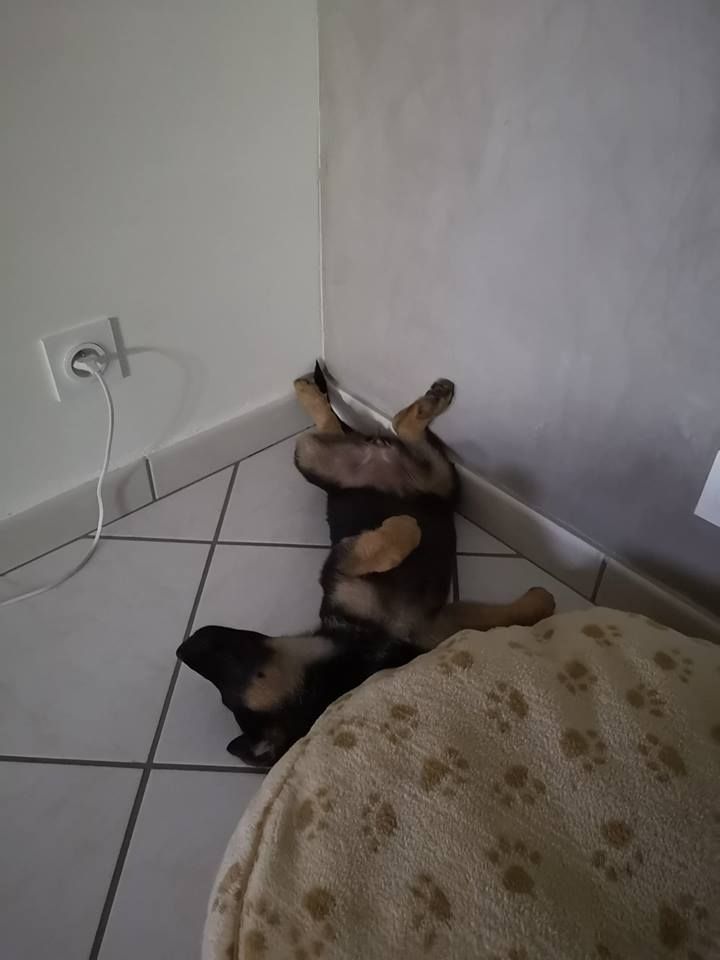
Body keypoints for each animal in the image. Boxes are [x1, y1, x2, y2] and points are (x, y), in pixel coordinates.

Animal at [177, 367, 555, 766]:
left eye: (228, 664)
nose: (189, 644)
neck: (357, 651)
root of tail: (373, 454)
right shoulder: (417, 612)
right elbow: (400, 546)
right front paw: (407, 526)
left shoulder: (416, 616)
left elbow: (503, 614)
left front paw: (540, 601)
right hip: (386, 466)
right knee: (387, 428)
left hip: (391, 469)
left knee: (356, 425)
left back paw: (324, 392)